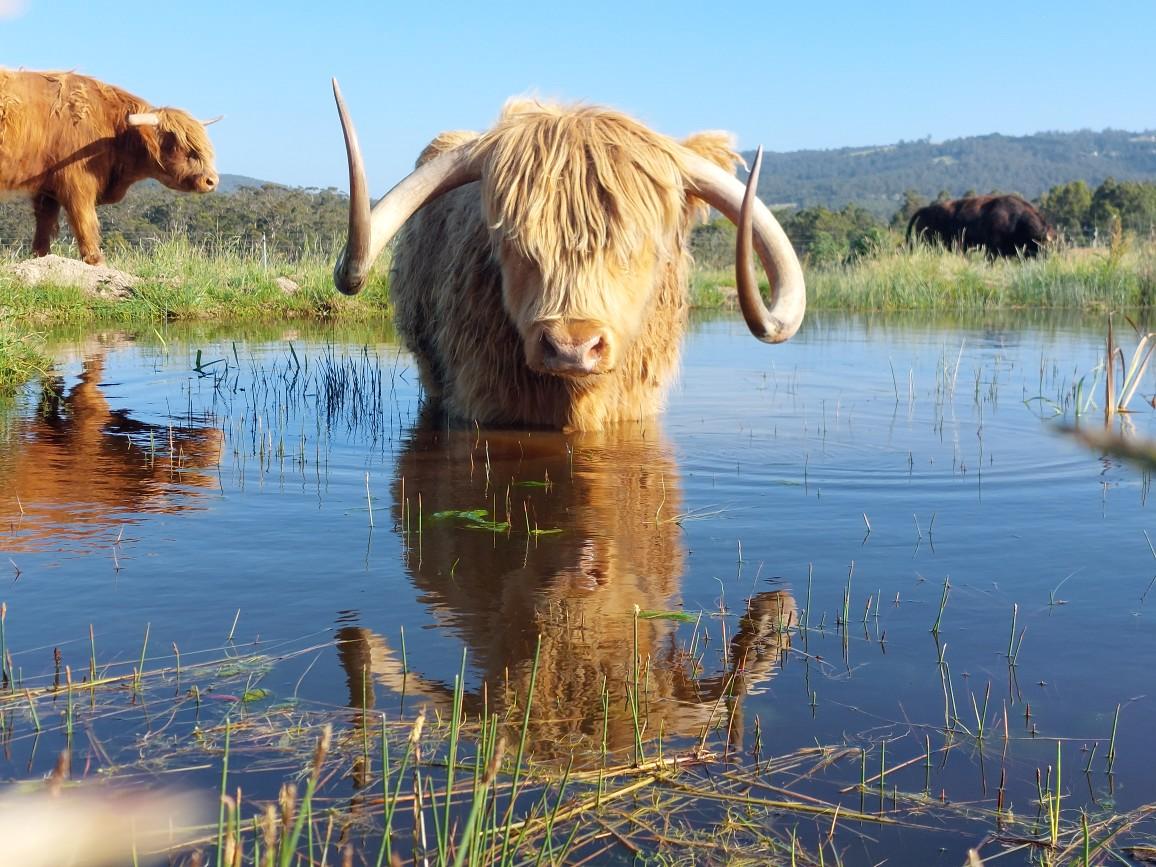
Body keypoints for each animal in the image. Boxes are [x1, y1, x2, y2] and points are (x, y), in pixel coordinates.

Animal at [0, 69, 219, 266]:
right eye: (177, 144)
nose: (212, 181)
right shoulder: (78, 183)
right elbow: (85, 221)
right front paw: (95, 259)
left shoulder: (47, 187)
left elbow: (45, 223)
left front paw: (41, 256)